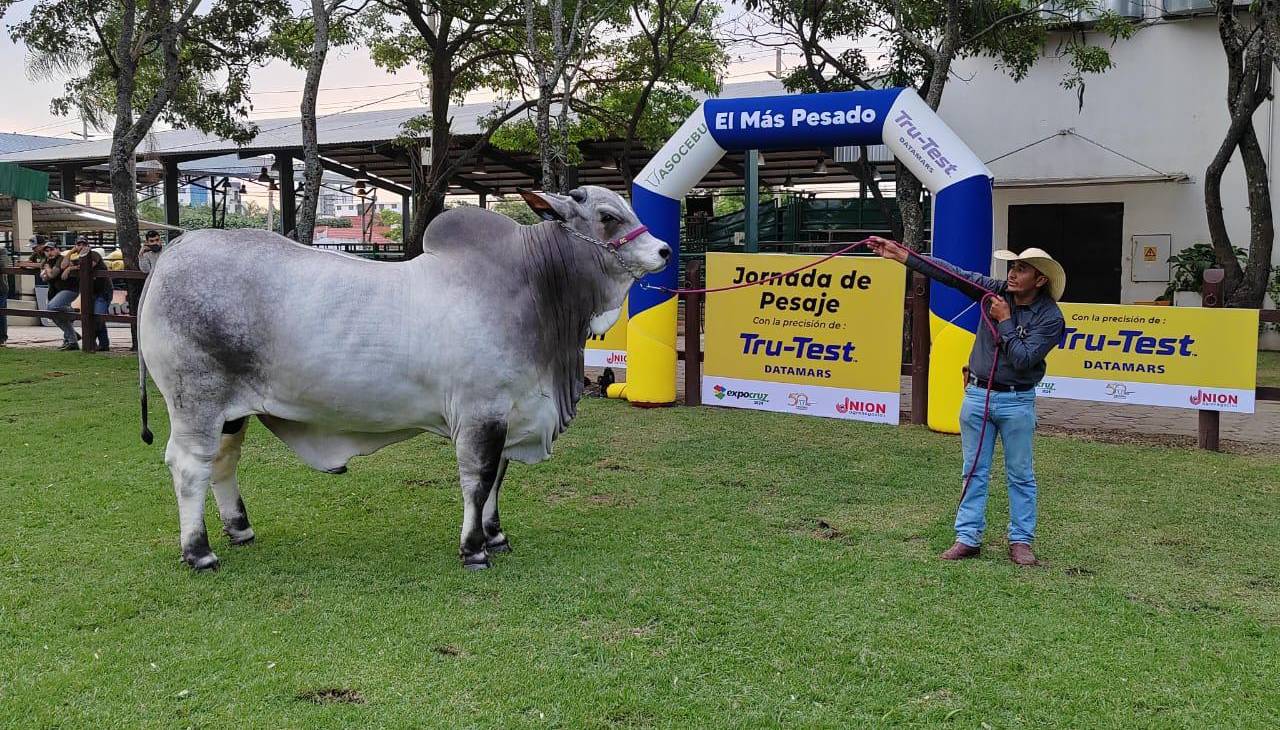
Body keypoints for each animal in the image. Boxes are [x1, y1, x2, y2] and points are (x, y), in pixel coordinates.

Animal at [138, 185, 670, 568]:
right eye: (608, 216)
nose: (665, 250)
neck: (535, 289)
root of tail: (176, 249)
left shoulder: (509, 411)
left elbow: (498, 477)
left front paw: (496, 536)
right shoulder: (480, 413)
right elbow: (478, 478)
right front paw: (473, 548)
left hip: (232, 410)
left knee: (223, 463)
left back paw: (240, 529)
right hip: (196, 402)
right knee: (189, 466)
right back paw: (199, 552)